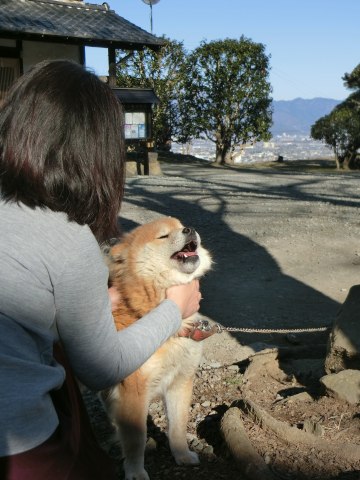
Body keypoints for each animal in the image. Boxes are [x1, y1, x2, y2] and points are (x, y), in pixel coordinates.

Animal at [102, 217, 211, 480]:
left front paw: (182, 455)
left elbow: (178, 425)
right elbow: (135, 439)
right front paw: (135, 471)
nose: (190, 229)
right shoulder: (133, 392)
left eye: (181, 226)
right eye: (163, 236)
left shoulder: (180, 381)